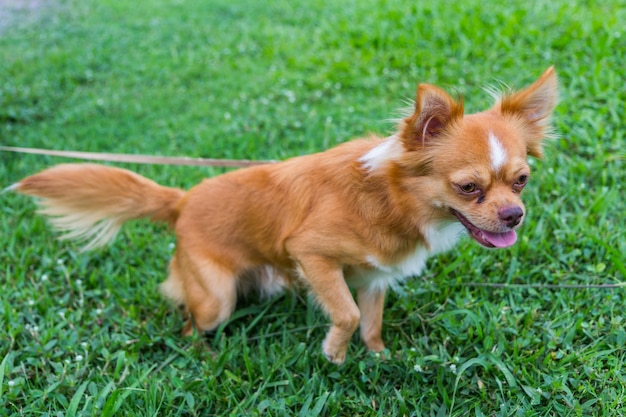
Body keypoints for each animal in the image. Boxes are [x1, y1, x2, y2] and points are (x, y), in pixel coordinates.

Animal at [8, 66, 556, 362]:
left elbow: (371, 322)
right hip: (216, 297)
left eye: (521, 180)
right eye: (468, 188)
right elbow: (345, 312)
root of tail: (182, 200)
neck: (392, 197)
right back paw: (203, 353)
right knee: (190, 320)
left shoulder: (376, 276)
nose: (514, 215)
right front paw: (334, 355)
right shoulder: (310, 253)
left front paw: (379, 358)